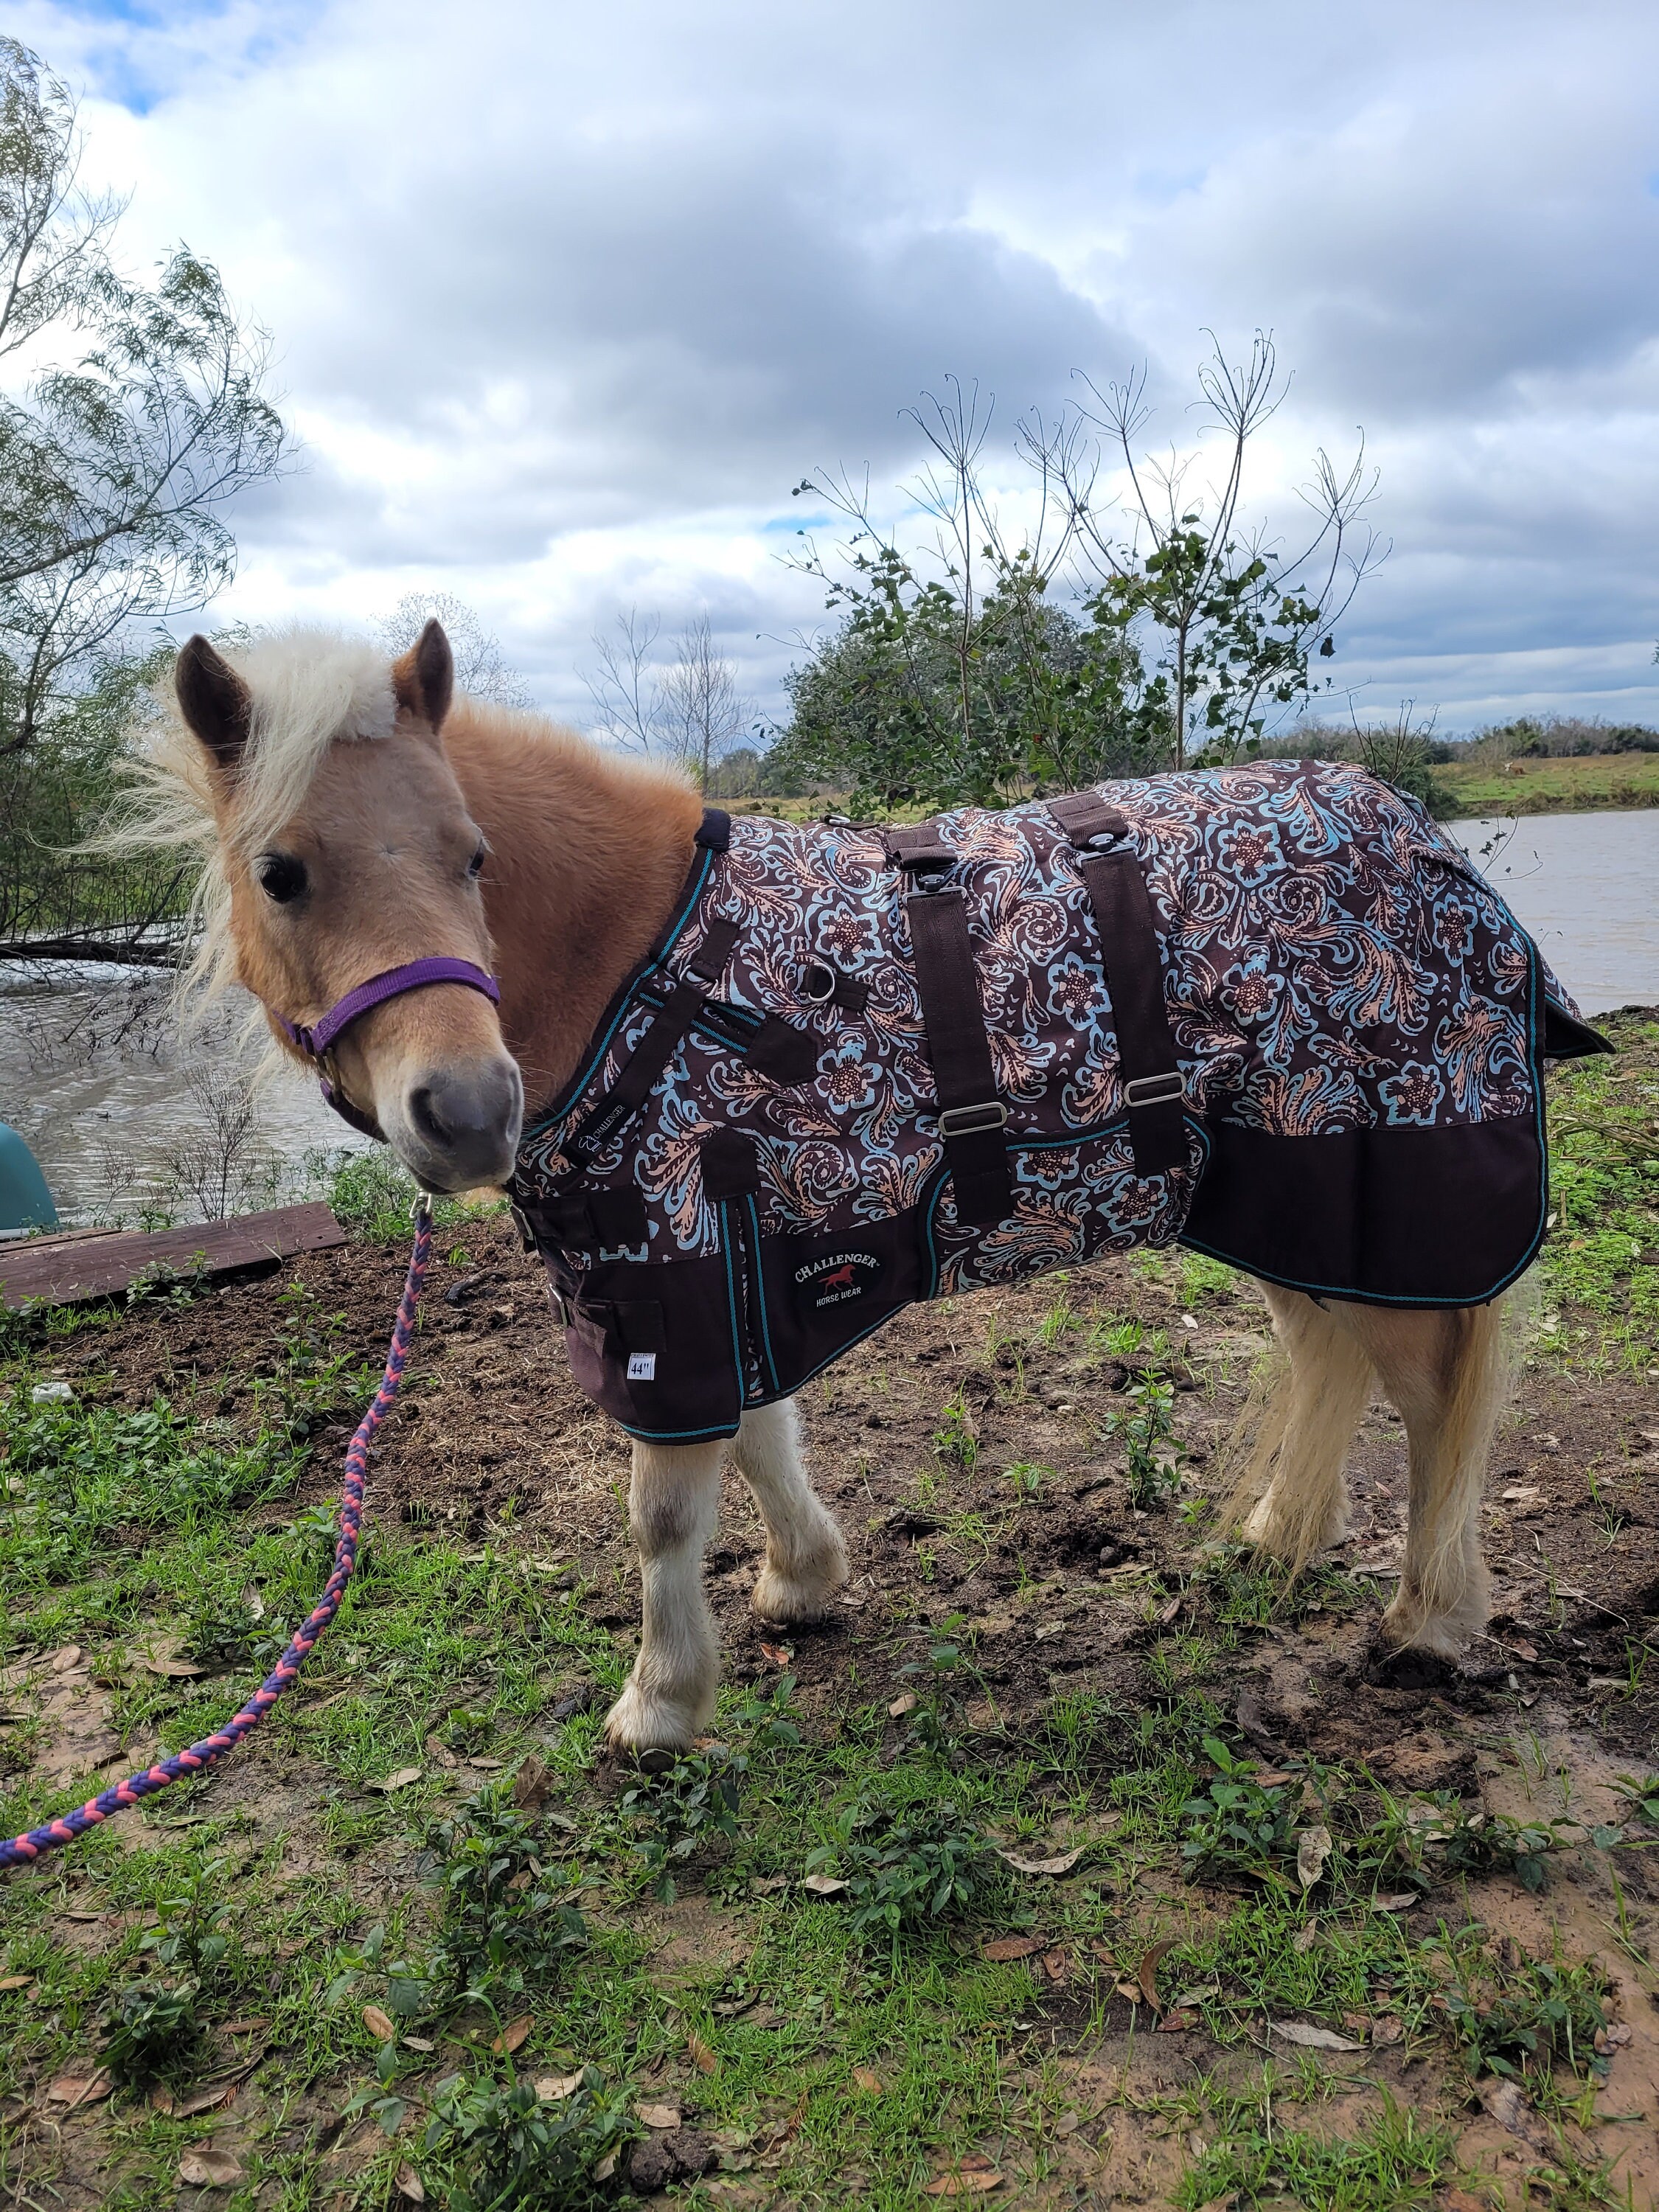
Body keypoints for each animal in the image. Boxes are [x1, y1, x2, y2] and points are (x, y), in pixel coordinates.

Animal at [127, 617, 1584, 1756]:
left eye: (472, 857)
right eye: (281, 873)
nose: (470, 1109)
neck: (651, 967)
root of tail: (1424, 841)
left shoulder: (675, 1286)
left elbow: (665, 1511)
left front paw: (661, 1703)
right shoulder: (733, 1268)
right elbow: (766, 1443)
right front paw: (801, 1583)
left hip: (1390, 1218)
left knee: (1434, 1409)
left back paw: (1432, 1620)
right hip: (1286, 1208)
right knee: (1327, 1362)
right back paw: (1277, 1539)